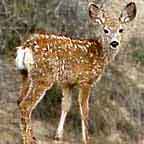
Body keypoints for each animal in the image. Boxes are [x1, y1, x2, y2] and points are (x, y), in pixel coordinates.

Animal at [15, 1, 136, 144]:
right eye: (105, 30)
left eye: (121, 30)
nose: (114, 43)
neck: (100, 54)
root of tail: (26, 47)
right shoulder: (86, 81)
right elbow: (84, 110)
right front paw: (86, 139)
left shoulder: (68, 83)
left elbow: (65, 105)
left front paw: (58, 136)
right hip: (43, 77)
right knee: (26, 105)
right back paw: (29, 140)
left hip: (26, 74)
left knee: (19, 100)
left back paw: (30, 137)